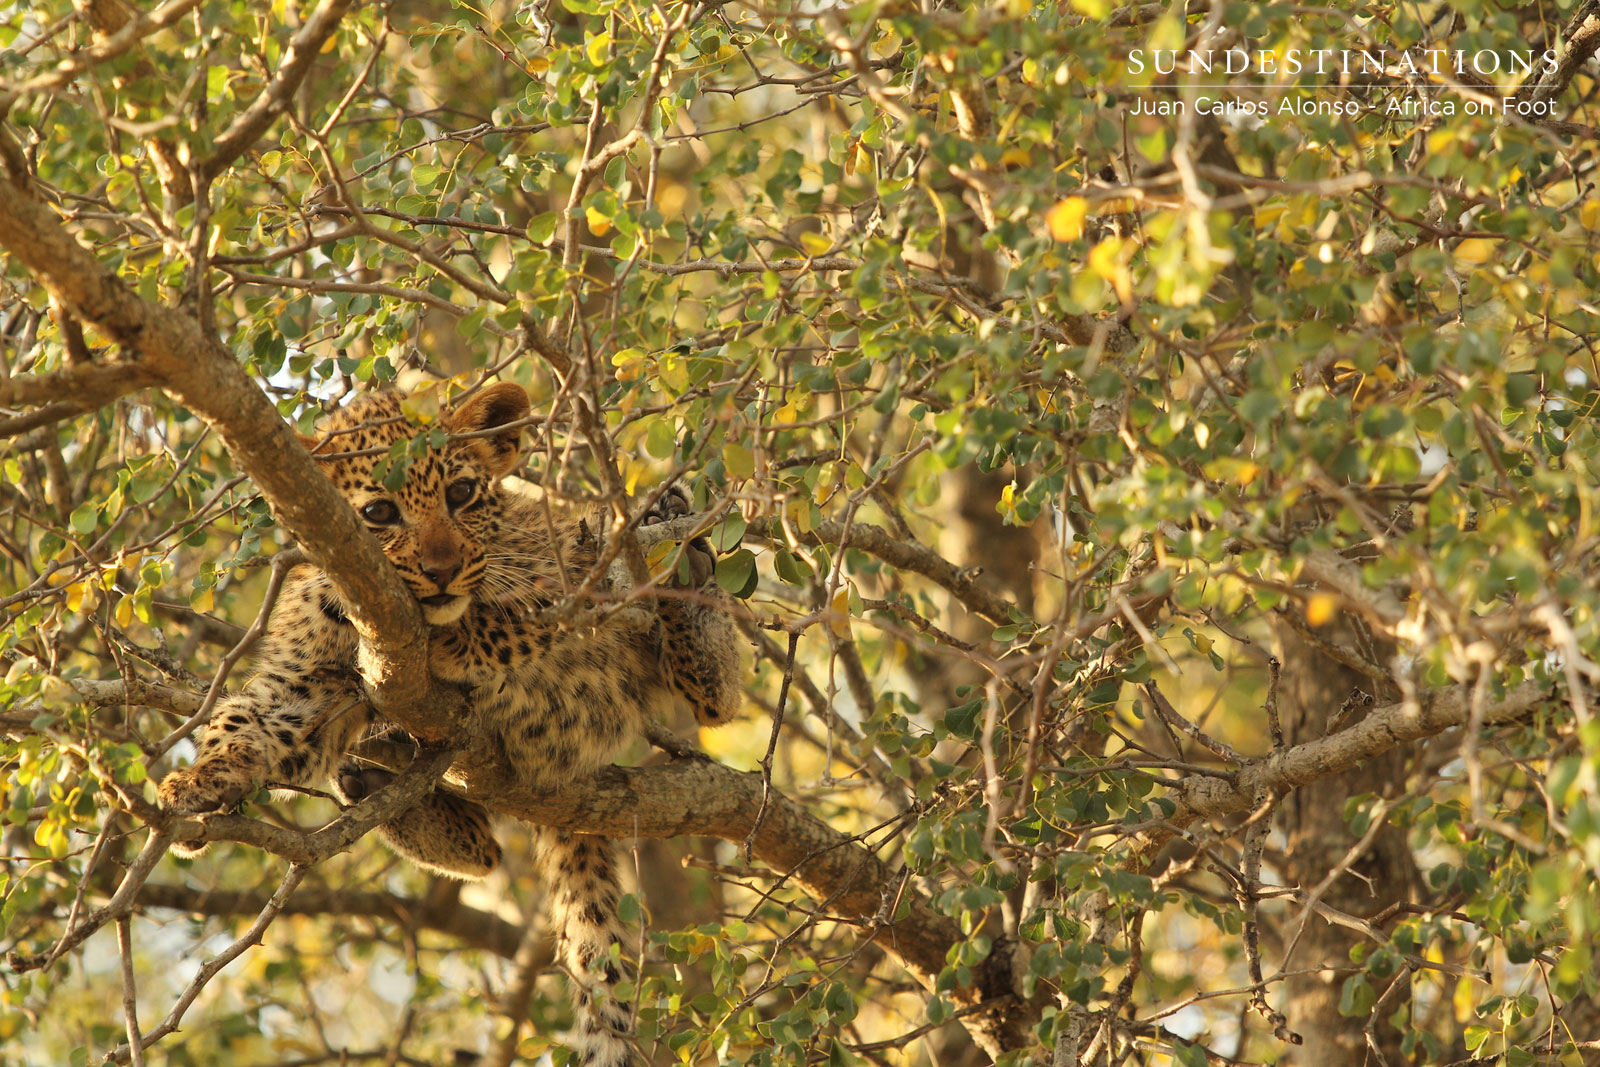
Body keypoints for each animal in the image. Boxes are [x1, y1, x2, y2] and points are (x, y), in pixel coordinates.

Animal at [156, 382, 742, 1067]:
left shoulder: (571, 581)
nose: (441, 569)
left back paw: (681, 552)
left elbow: (521, 617)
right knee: (484, 851)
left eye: (461, 494)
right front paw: (194, 783)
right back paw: (377, 788)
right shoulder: (307, 682)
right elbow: (244, 720)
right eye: (379, 512)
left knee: (718, 696)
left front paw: (458, 636)